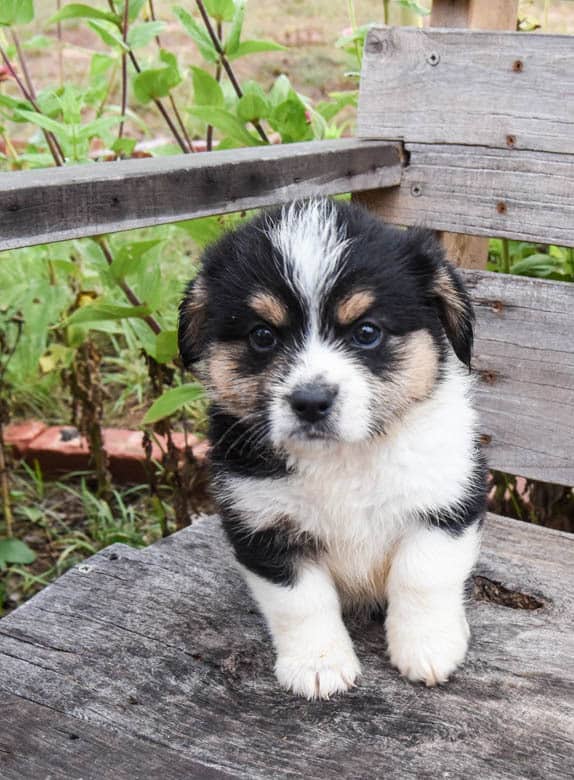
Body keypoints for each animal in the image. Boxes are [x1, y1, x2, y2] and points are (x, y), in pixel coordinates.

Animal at [179, 198, 486, 696]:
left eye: (366, 332)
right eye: (262, 336)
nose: (310, 402)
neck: (343, 459)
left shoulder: (445, 503)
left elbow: (421, 577)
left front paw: (428, 649)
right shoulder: (266, 530)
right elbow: (301, 602)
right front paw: (318, 666)